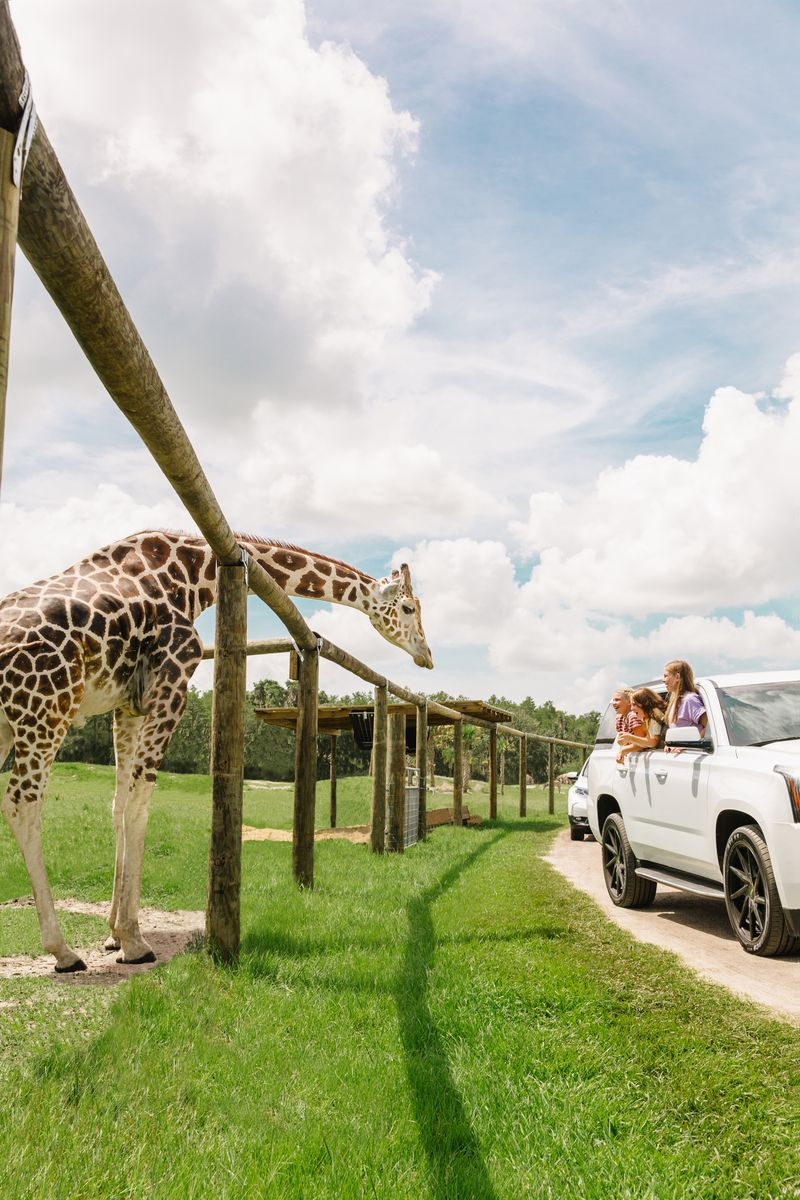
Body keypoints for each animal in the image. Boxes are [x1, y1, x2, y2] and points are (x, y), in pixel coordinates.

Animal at [0, 530, 434, 969]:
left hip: (14, 723)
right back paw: (63, 950)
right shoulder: (176, 671)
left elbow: (119, 806)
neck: (194, 576)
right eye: (409, 607)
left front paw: (114, 935)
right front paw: (133, 941)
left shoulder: (127, 704)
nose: (427, 656)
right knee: (21, 802)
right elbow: (140, 803)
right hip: (46, 708)